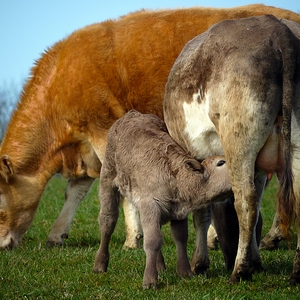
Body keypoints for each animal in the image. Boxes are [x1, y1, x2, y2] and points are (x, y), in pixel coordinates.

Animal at [0, 5, 300, 252]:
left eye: (0, 205)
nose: (2, 245)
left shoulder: (103, 131)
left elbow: (119, 189)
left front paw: (132, 239)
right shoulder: (86, 147)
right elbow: (74, 191)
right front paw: (57, 233)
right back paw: (270, 236)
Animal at [92, 110, 233, 288]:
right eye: (221, 162)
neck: (174, 176)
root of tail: (132, 114)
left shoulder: (178, 211)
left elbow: (180, 238)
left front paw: (185, 272)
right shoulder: (150, 205)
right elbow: (153, 240)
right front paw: (150, 280)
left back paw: (160, 265)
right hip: (108, 179)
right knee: (107, 221)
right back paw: (100, 264)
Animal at [164, 15, 300, 284]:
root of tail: (276, 27)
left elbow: (202, 211)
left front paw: (199, 263)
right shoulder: (259, 169)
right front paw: (257, 262)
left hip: (238, 138)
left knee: (245, 200)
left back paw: (239, 270)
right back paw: (297, 271)